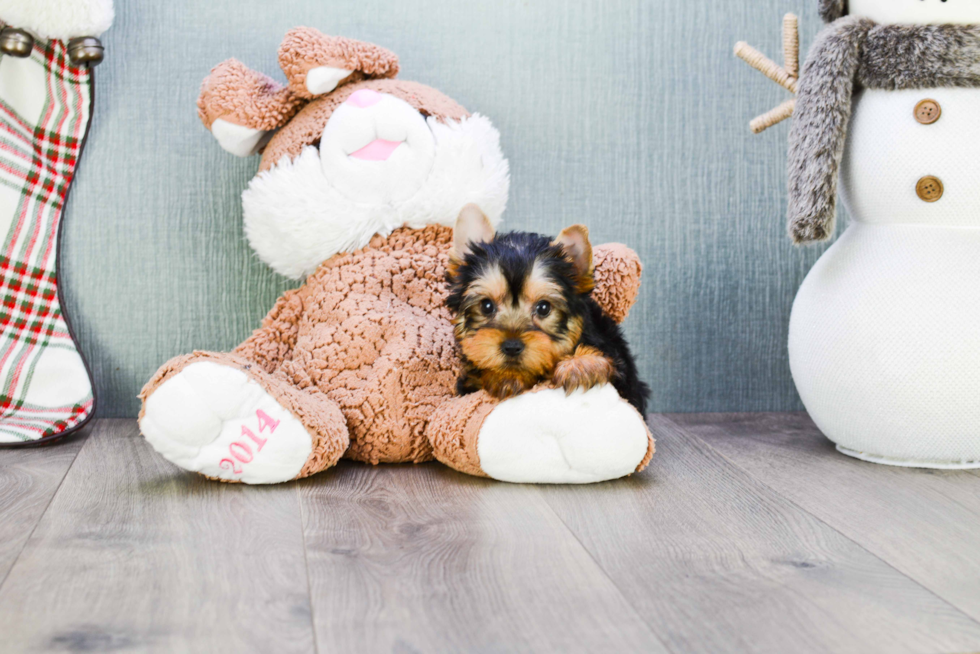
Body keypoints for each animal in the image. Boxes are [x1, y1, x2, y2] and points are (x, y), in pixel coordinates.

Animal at [446, 204, 648, 416]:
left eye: (543, 308)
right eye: (486, 306)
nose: (511, 346)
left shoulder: (623, 374)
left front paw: (580, 365)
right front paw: (503, 376)